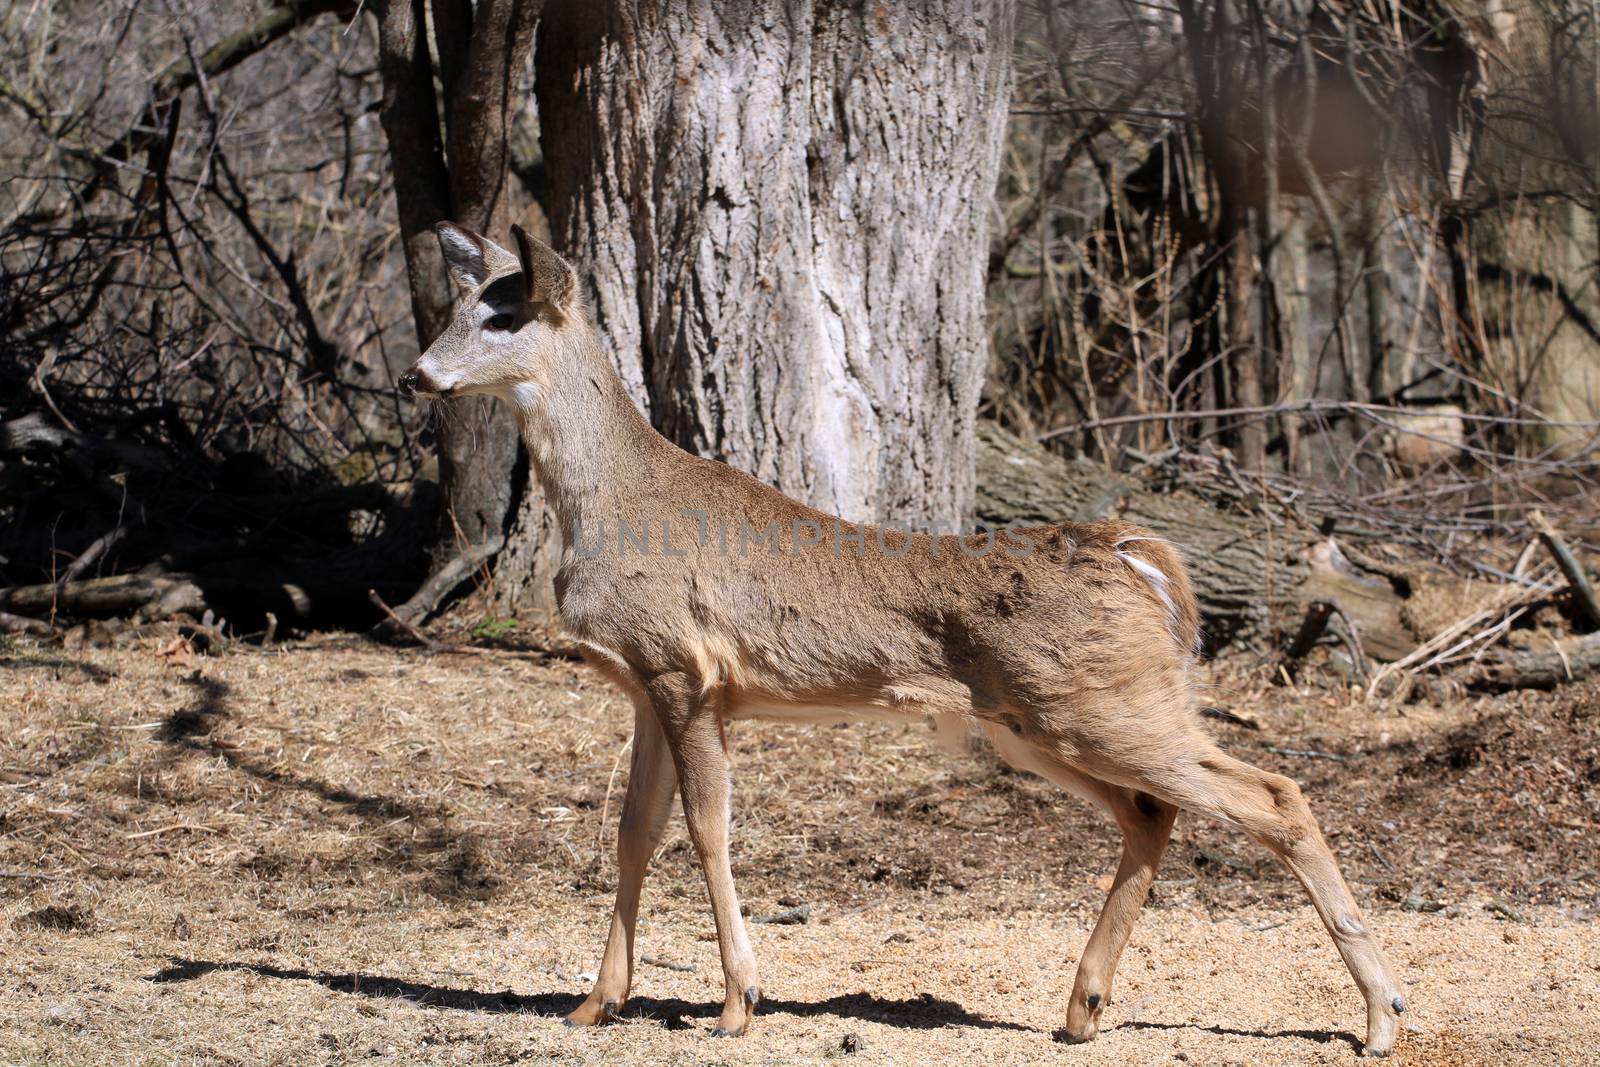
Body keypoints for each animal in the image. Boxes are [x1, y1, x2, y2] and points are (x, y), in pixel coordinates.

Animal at [396, 220, 1401, 1055]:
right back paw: (1082, 1006)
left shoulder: (688, 670)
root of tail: (1139, 555)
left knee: (1274, 793)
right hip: (1039, 721)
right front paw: (595, 1003)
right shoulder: (648, 684)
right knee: (1154, 812)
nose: (416, 374)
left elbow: (709, 829)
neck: (611, 502)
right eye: (453, 306)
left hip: (1098, 705)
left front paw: (737, 1003)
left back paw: (1381, 1015)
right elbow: (633, 833)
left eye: (503, 315)